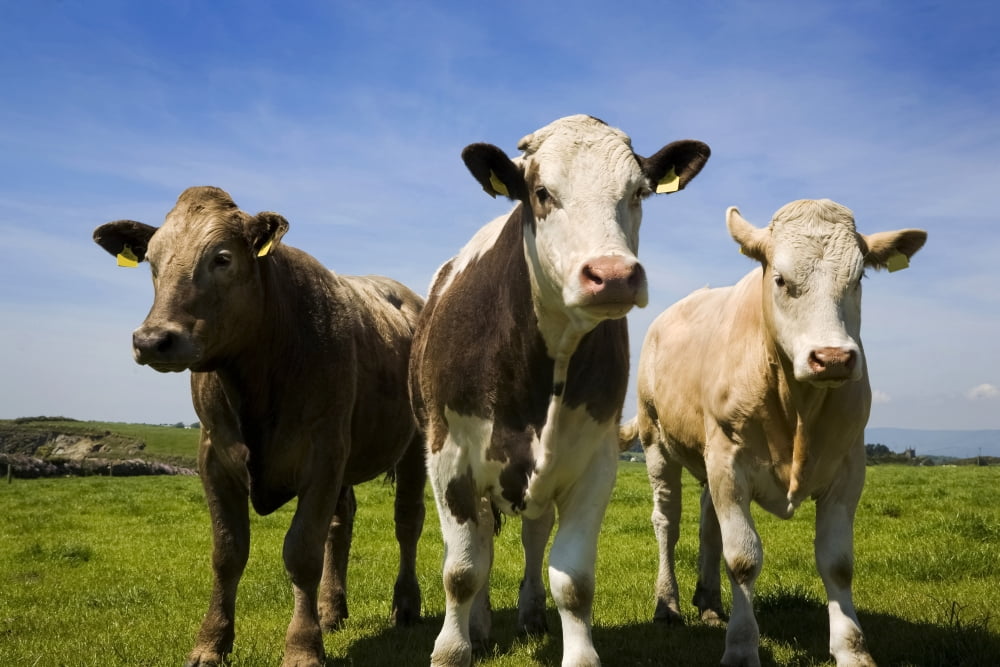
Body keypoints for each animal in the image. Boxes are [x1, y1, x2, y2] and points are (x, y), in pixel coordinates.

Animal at [92, 186, 427, 667]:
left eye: (222, 258)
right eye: (152, 260)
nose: (153, 339)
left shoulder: (323, 452)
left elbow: (302, 551)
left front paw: (302, 647)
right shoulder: (214, 455)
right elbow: (228, 552)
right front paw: (210, 643)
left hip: (414, 443)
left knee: (407, 521)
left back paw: (405, 604)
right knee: (342, 522)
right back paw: (331, 610)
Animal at [409, 115, 710, 666]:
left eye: (638, 192)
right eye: (542, 193)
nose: (613, 276)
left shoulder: (594, 461)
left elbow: (572, 580)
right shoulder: (448, 456)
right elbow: (462, 570)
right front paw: (452, 648)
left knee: (532, 534)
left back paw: (528, 615)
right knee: (481, 543)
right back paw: (479, 624)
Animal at [621, 199, 927, 666]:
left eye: (858, 279)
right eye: (781, 279)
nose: (832, 358)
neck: (796, 407)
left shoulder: (848, 466)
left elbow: (837, 562)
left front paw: (852, 648)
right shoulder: (729, 463)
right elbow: (743, 558)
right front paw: (742, 646)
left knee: (708, 525)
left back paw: (710, 602)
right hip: (657, 441)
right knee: (667, 523)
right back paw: (667, 604)